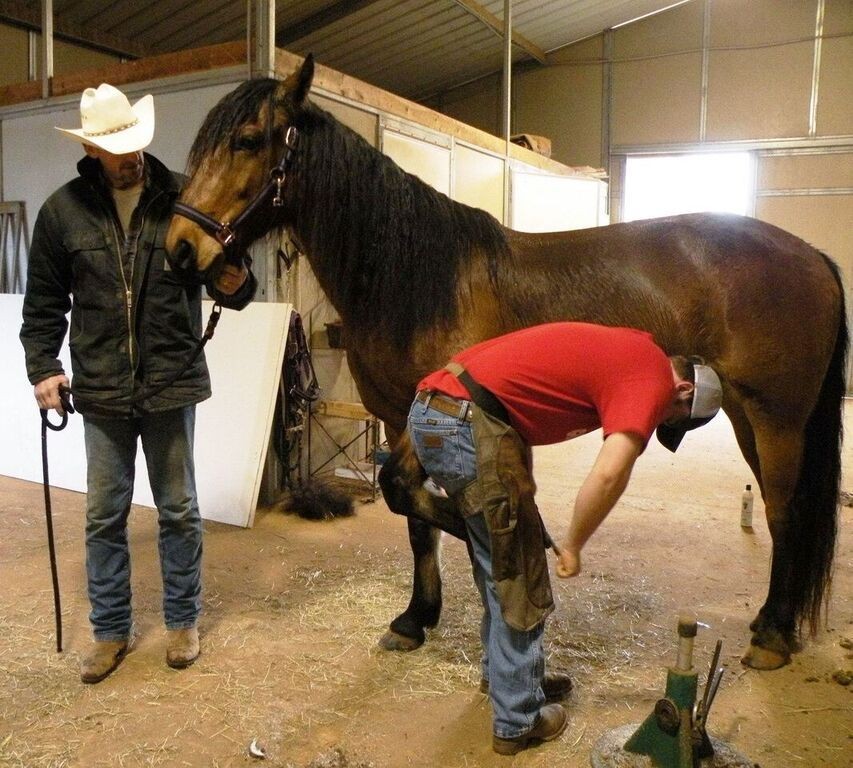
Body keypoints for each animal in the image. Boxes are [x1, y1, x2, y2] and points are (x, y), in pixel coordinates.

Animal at [165, 57, 844, 668]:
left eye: (247, 140)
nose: (180, 248)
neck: (418, 278)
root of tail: (812, 255)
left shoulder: (441, 412)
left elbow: (411, 493)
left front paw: (523, 552)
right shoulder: (398, 414)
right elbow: (412, 515)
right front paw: (416, 618)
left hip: (776, 419)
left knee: (783, 513)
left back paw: (774, 636)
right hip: (745, 415)